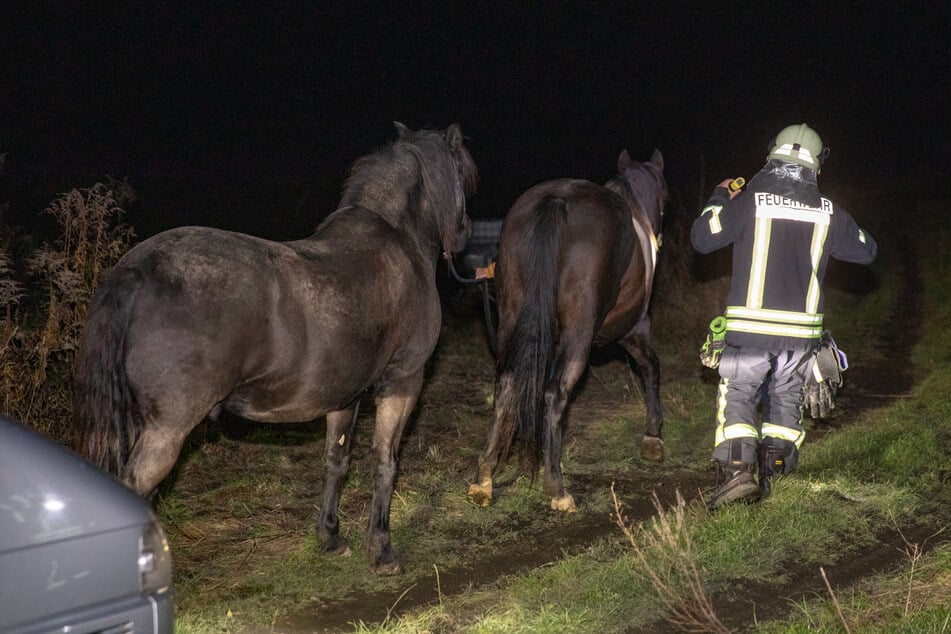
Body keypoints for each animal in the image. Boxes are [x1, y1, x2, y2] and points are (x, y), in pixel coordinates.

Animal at [73, 122, 478, 574]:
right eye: (462, 174)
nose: (466, 230)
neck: (397, 240)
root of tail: (135, 271)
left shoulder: (345, 396)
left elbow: (336, 462)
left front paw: (331, 537)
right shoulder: (404, 380)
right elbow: (385, 462)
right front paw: (382, 550)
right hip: (166, 431)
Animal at [467, 149, 667, 512]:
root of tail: (557, 200)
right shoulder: (634, 329)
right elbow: (650, 367)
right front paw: (653, 437)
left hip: (511, 321)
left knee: (506, 386)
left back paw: (485, 477)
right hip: (579, 336)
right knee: (555, 393)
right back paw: (556, 488)